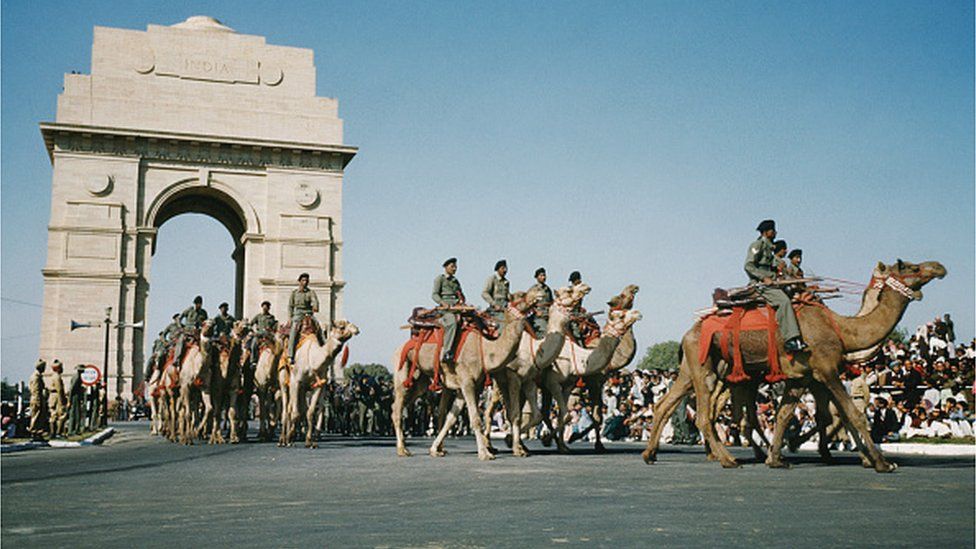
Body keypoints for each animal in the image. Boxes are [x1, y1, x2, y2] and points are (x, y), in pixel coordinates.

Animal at [278, 318, 358, 448]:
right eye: (341, 326)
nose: (356, 329)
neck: (313, 359)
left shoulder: (318, 386)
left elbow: (310, 412)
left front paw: (309, 441)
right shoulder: (296, 382)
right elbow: (296, 412)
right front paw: (290, 438)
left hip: (303, 389)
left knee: (299, 409)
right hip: (284, 382)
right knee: (286, 409)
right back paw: (283, 440)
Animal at [390, 288, 540, 460]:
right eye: (520, 295)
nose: (538, 291)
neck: (485, 350)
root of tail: (399, 348)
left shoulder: (469, 386)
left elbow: (451, 418)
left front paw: (435, 449)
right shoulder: (467, 382)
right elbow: (475, 418)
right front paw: (485, 453)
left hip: (420, 380)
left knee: (402, 404)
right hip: (402, 368)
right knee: (397, 407)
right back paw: (402, 449)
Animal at [536, 306, 644, 452]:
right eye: (622, 314)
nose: (638, 314)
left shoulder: (599, 384)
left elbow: (597, 416)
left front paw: (597, 444)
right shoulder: (592, 382)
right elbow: (595, 416)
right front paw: (576, 437)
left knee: (545, 413)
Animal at [640, 260, 944, 470]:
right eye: (909, 266)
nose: (938, 267)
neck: (843, 330)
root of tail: (687, 334)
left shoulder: (803, 376)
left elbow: (788, 415)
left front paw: (778, 457)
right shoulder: (826, 370)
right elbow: (850, 414)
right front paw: (881, 463)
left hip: (693, 369)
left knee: (668, 404)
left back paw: (651, 454)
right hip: (706, 367)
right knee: (708, 415)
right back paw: (727, 459)